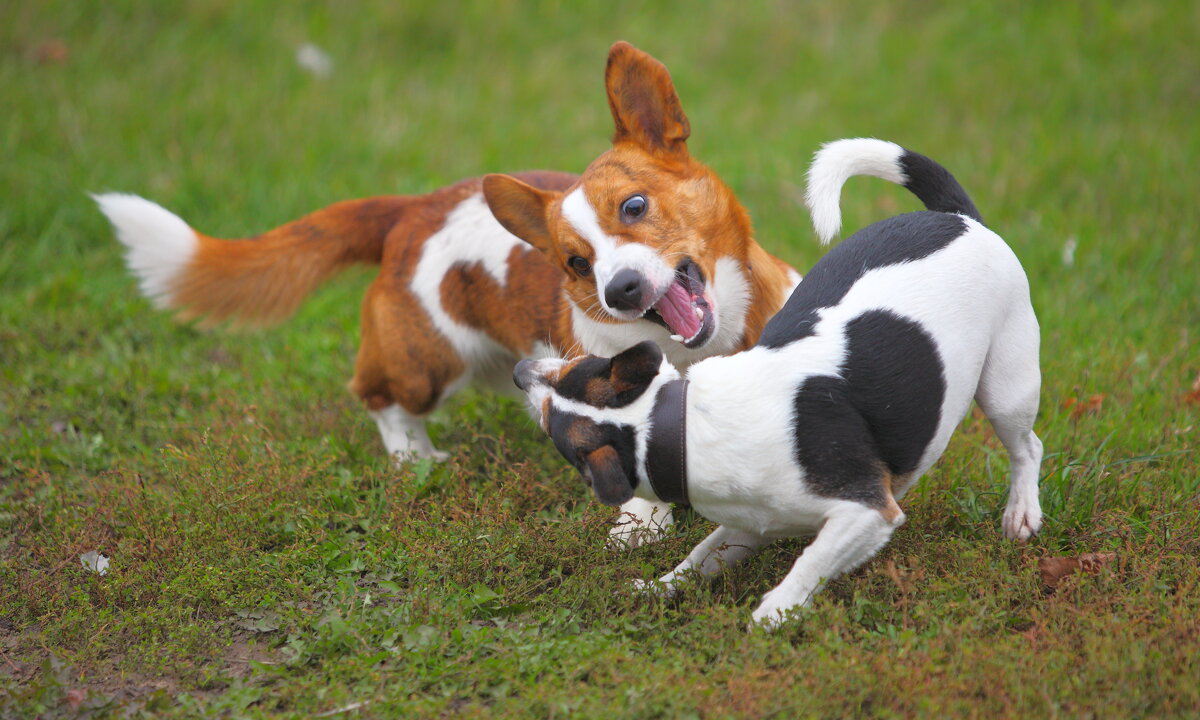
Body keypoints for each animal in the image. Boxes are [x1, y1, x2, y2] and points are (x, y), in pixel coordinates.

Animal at [96, 42, 796, 542]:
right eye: (575, 263)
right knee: (378, 394)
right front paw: (640, 524)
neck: (700, 348)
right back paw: (414, 457)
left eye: (634, 205)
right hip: (426, 363)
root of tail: (410, 210)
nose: (620, 290)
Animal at [513, 138, 1041, 628]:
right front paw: (658, 588)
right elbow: (700, 558)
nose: (521, 372)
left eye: (552, 426)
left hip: (1007, 384)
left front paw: (773, 613)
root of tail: (956, 217)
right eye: (580, 369)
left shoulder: (868, 513)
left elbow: (811, 563)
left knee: (1026, 447)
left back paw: (1022, 511)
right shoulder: (749, 524)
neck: (680, 424)